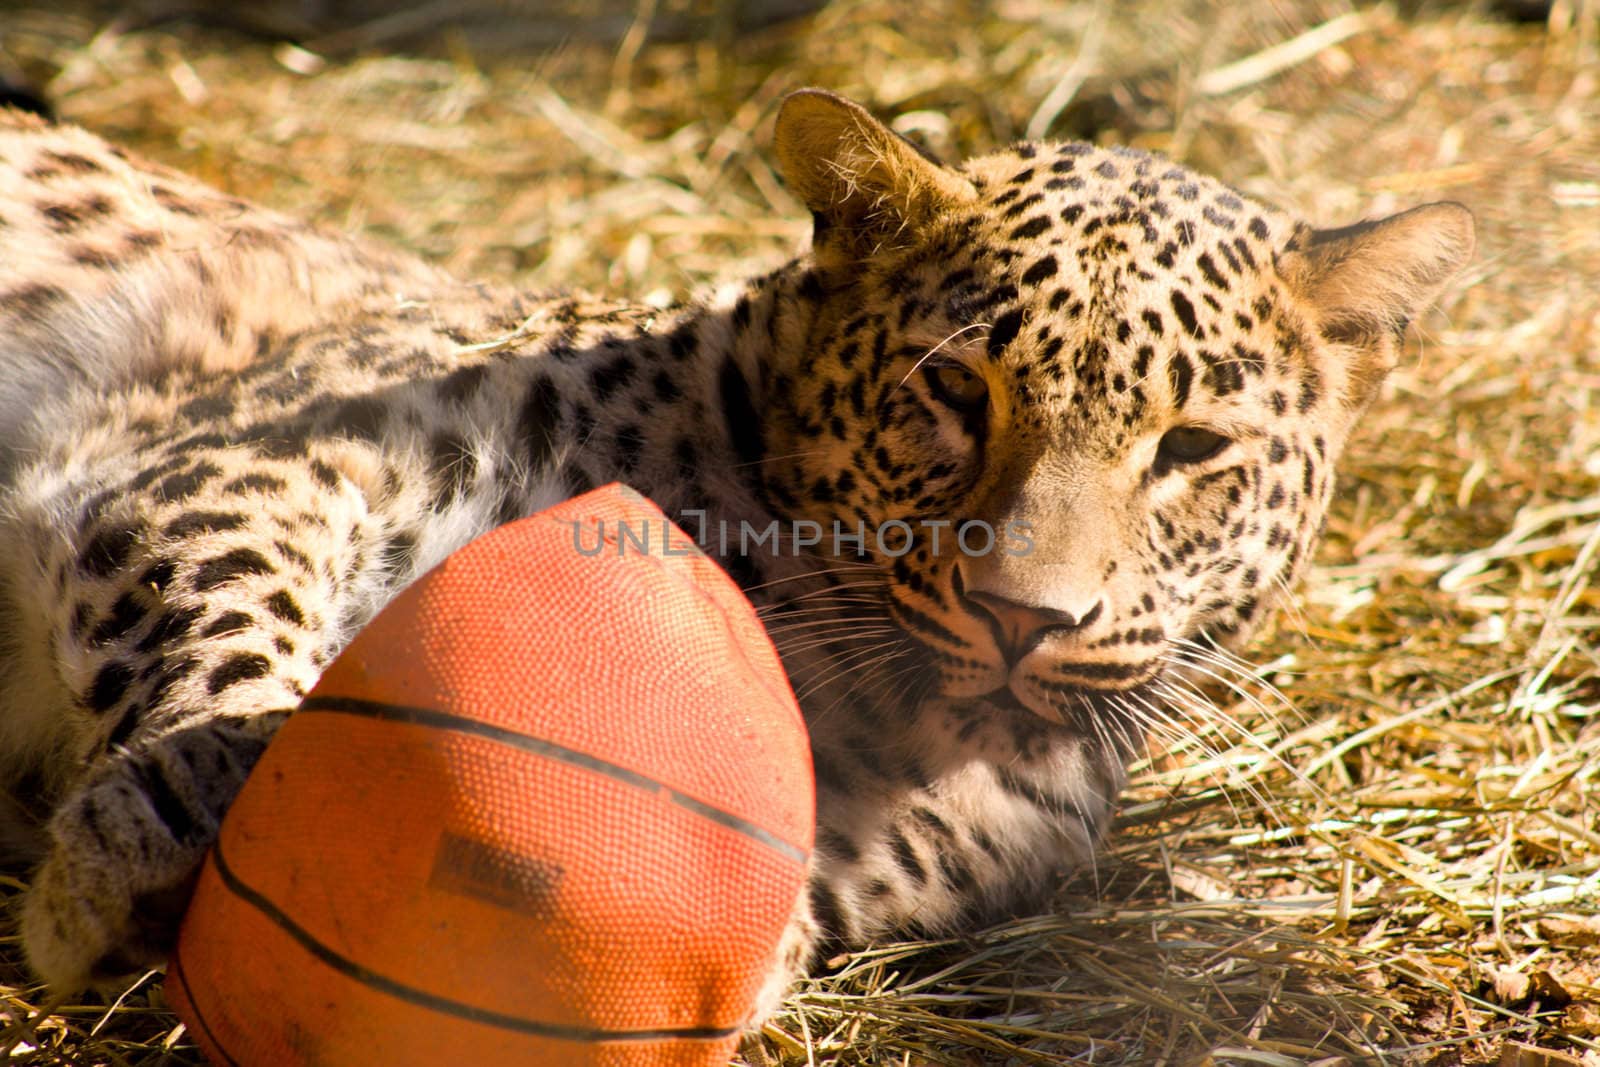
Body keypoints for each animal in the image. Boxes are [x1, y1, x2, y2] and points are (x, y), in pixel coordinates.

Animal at [0, 87, 1472, 1030]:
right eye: (958, 391)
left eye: (1191, 446)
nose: (1024, 615)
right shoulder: (243, 449)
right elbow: (234, 635)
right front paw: (142, 849)